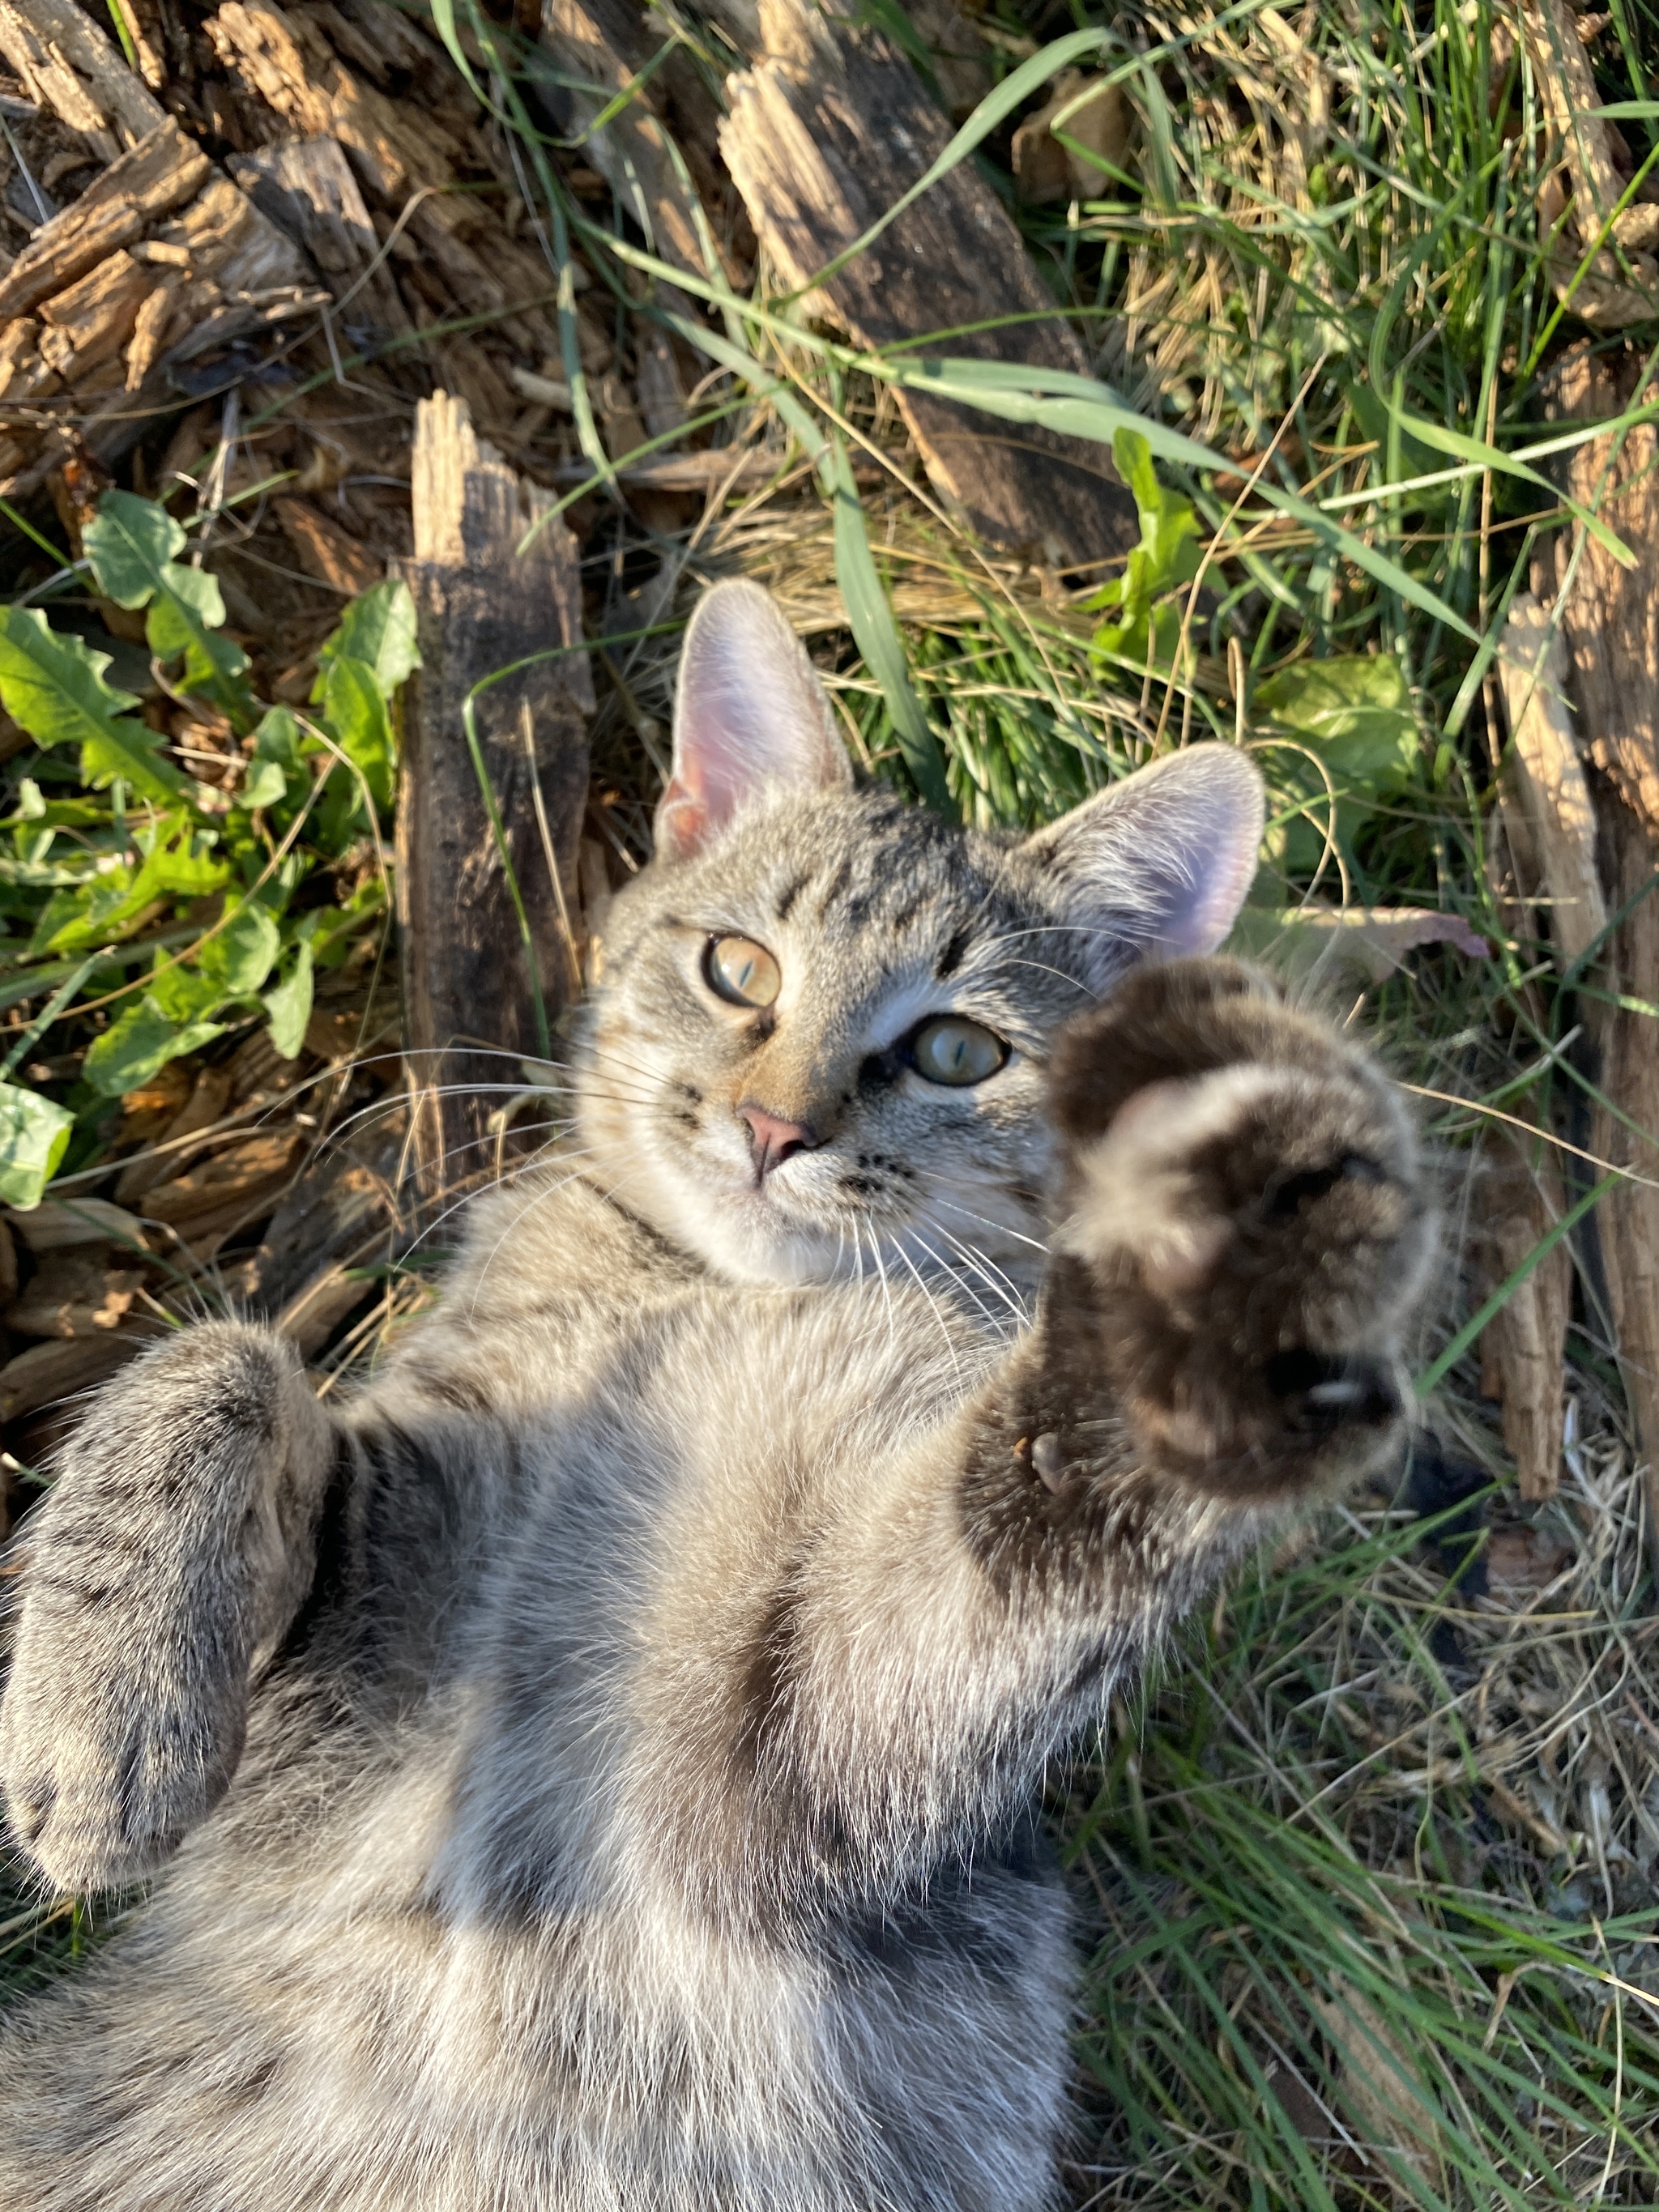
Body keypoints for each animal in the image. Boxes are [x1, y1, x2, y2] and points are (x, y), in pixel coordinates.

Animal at [0, 583, 1433, 2212]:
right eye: (738, 969)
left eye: (957, 1048)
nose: (770, 1127)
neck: (720, 1298)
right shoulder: (382, 1555)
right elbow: (221, 1356)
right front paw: (98, 1721)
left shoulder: (835, 1724)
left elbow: (1027, 1504)